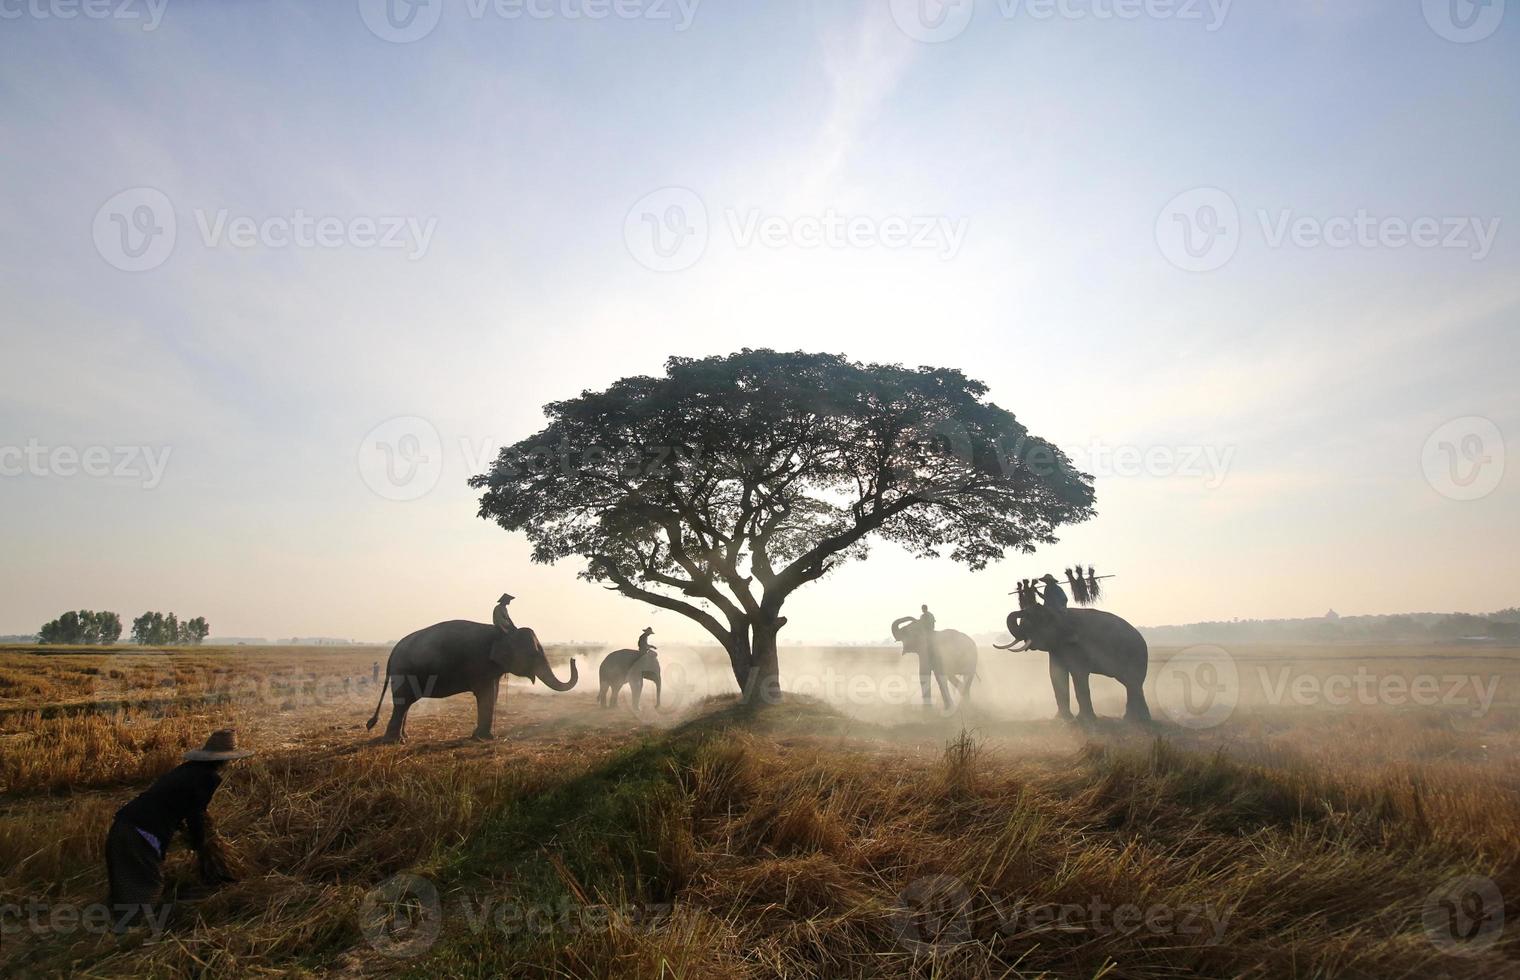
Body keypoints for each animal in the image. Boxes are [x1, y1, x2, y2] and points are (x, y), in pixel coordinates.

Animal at [366, 619, 574, 741]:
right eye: (534, 654)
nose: (573, 659)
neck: (503, 632)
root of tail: (393, 650)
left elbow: (493, 694)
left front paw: (483, 737)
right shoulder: (479, 664)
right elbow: (486, 695)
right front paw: (486, 738)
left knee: (405, 704)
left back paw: (404, 738)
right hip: (404, 672)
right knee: (402, 703)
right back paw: (395, 741)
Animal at [991, 604, 1143, 717]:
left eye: (1039, 619)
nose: (1023, 611)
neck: (1060, 614)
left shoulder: (1078, 646)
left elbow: (1078, 673)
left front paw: (1084, 720)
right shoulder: (1057, 648)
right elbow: (1055, 673)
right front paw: (1063, 719)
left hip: (1134, 655)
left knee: (1132, 682)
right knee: (1132, 684)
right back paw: (1134, 720)